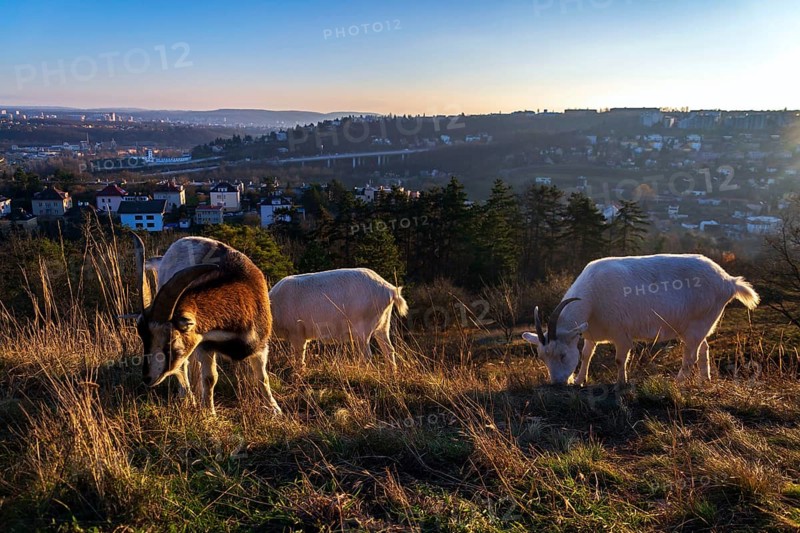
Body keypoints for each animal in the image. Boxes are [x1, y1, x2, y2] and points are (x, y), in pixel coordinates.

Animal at [132, 234, 280, 415]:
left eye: (170, 341)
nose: (147, 378)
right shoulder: (206, 344)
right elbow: (210, 378)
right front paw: (209, 412)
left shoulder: (260, 344)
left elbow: (262, 377)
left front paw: (274, 409)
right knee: (184, 365)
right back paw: (187, 397)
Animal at [268, 268, 408, 369]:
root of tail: (391, 290)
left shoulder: (297, 332)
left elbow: (299, 357)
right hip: (384, 323)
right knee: (389, 349)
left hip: (363, 324)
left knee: (367, 354)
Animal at [522, 254, 759, 385]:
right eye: (542, 358)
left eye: (562, 355)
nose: (557, 384)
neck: (592, 300)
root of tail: (728, 281)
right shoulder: (590, 334)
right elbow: (587, 354)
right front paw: (580, 381)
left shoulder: (621, 334)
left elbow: (619, 359)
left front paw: (621, 383)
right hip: (701, 325)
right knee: (704, 348)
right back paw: (704, 380)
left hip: (699, 322)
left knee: (690, 355)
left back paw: (678, 383)